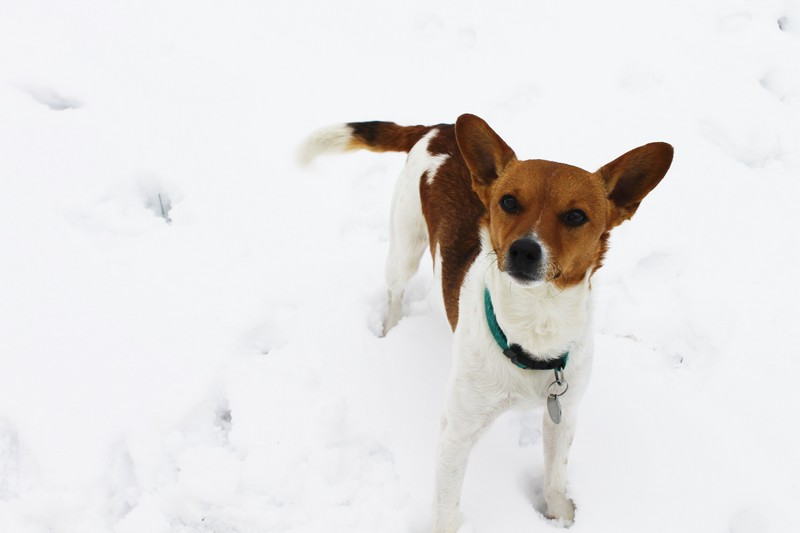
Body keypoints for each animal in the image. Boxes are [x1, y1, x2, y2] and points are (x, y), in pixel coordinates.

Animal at [296, 114, 672, 528]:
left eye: (576, 216)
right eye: (508, 201)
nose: (524, 250)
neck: (532, 329)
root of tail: (438, 127)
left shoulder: (563, 415)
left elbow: (555, 479)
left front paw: (559, 517)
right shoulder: (458, 431)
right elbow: (446, 509)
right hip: (405, 246)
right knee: (395, 291)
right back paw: (392, 329)